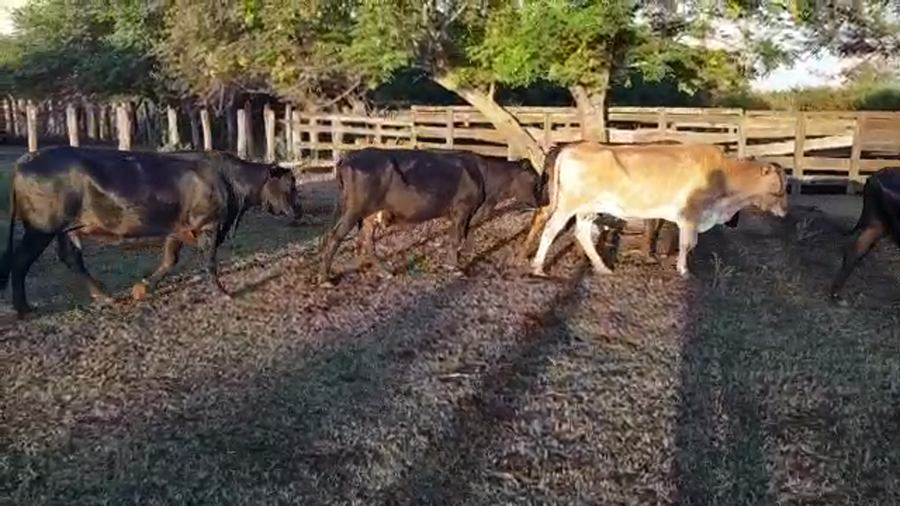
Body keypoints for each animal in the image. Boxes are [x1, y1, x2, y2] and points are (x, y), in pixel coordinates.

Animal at [0, 145, 299, 317]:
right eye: (289, 186)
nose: (299, 211)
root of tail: (27, 158)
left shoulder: (179, 227)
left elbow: (169, 259)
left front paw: (142, 288)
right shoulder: (209, 225)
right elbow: (210, 261)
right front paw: (223, 292)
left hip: (67, 228)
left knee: (70, 258)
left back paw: (104, 296)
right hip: (40, 229)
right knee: (21, 260)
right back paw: (24, 309)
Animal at [317, 147, 543, 286]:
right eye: (534, 179)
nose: (544, 201)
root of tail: (348, 157)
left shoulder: (469, 211)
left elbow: (466, 234)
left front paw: (465, 257)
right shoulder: (462, 209)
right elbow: (456, 238)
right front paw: (454, 267)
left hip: (370, 214)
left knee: (366, 240)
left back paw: (383, 271)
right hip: (354, 209)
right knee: (334, 237)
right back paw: (326, 278)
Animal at [522, 141, 788, 278]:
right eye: (780, 186)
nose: (785, 210)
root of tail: (569, 148)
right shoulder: (689, 216)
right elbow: (687, 243)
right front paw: (683, 269)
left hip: (588, 208)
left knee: (582, 233)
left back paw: (601, 267)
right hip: (568, 204)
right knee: (550, 229)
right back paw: (537, 267)